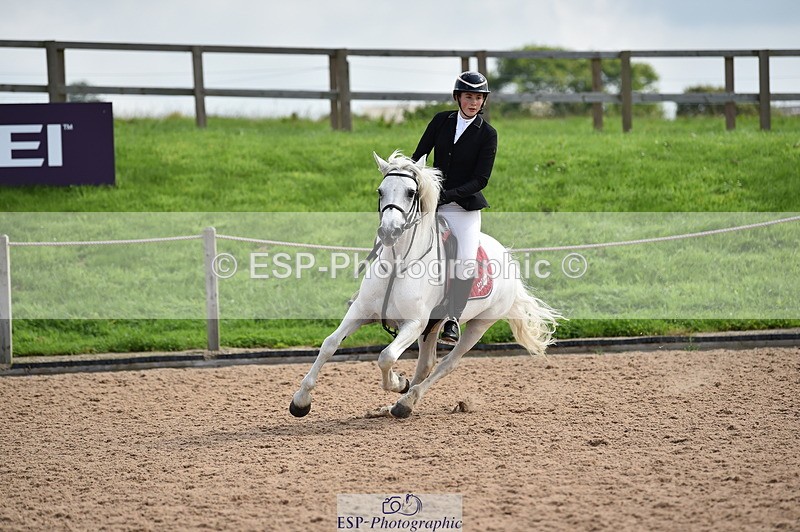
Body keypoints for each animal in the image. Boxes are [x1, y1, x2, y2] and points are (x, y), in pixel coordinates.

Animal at [290, 150, 561, 419]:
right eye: (380, 191)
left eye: (411, 192)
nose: (388, 232)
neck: (398, 264)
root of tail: (508, 256)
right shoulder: (362, 311)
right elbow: (329, 344)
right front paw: (301, 401)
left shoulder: (413, 323)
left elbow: (386, 356)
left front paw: (398, 382)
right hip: (431, 326)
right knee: (426, 364)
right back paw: (400, 403)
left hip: (478, 325)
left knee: (447, 364)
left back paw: (406, 401)